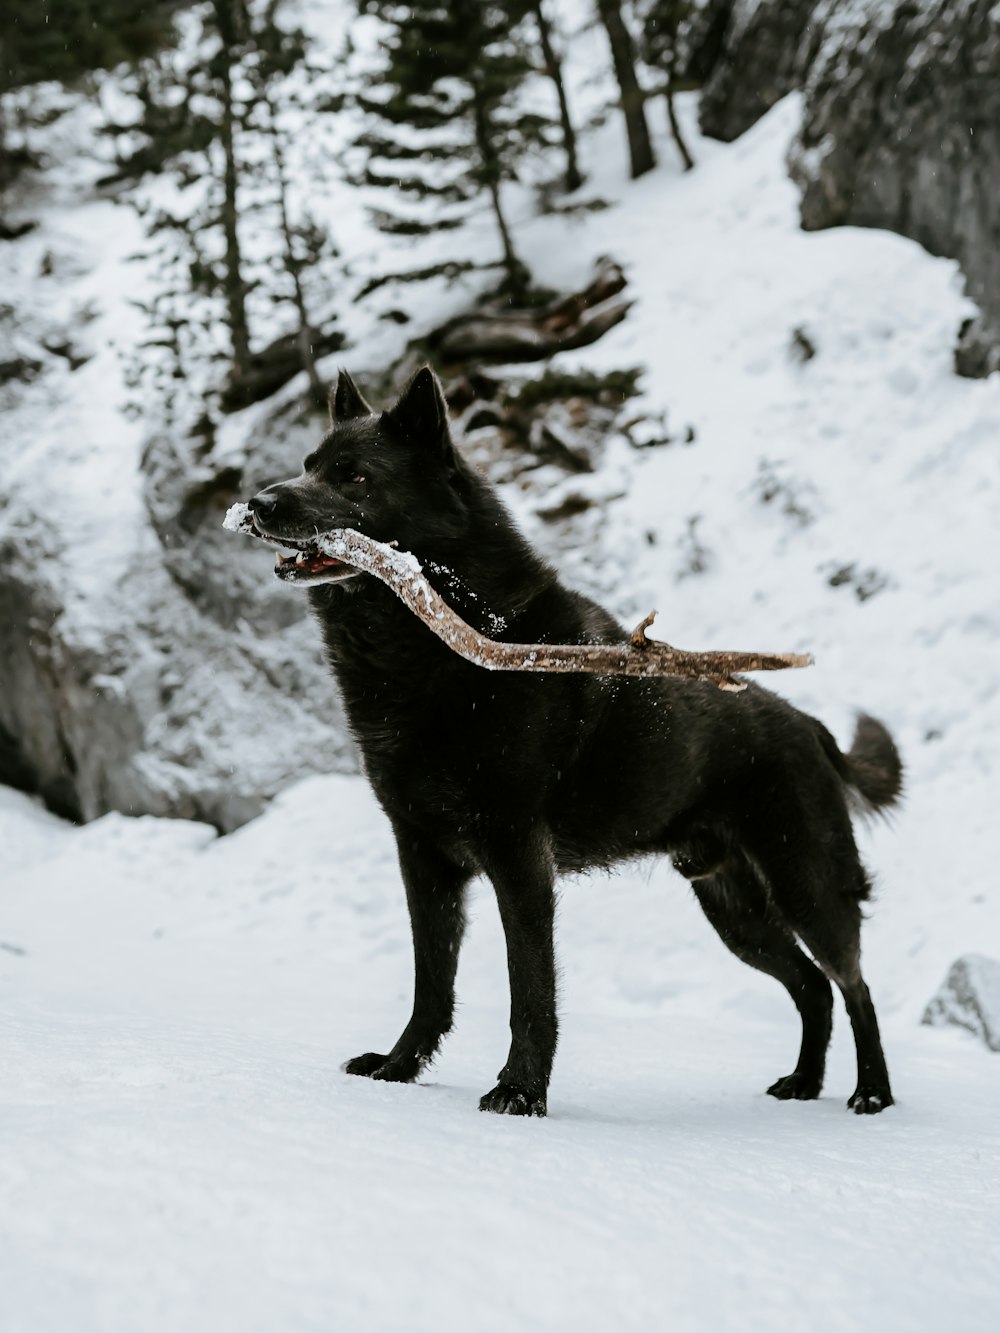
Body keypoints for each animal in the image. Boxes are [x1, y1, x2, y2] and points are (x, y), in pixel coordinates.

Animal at [246, 365, 906, 1114]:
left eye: (354, 477)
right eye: (308, 465)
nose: (258, 503)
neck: (438, 647)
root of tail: (808, 726)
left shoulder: (518, 857)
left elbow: (529, 988)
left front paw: (520, 1091)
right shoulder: (423, 857)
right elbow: (431, 982)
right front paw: (400, 1065)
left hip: (806, 885)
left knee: (853, 983)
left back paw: (872, 1093)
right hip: (735, 912)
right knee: (812, 986)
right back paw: (803, 1082)